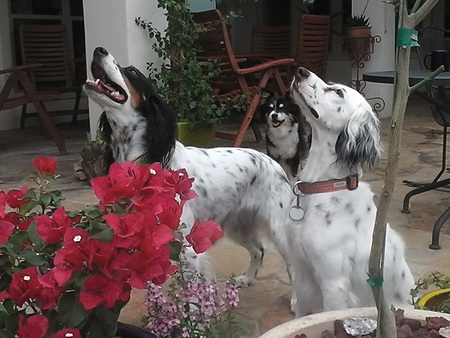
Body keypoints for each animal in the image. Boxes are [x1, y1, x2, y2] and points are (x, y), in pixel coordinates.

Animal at [83, 46, 296, 286]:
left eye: (132, 71)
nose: (99, 49)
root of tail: (273, 163)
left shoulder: (188, 248)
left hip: (277, 228)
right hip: (236, 225)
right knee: (258, 250)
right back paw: (246, 279)